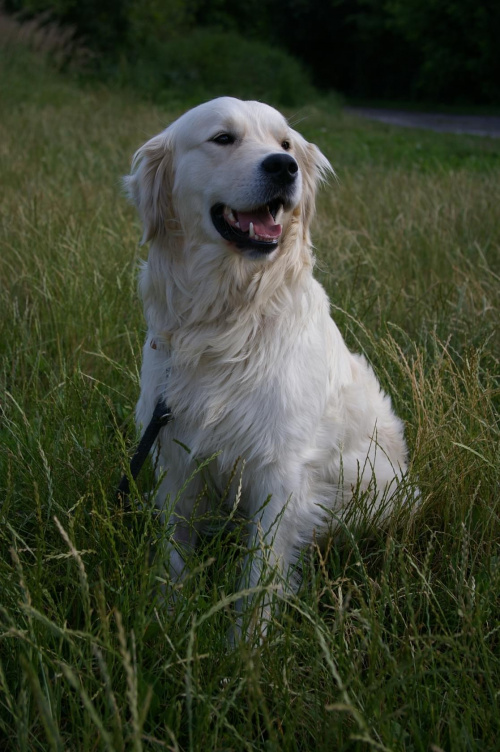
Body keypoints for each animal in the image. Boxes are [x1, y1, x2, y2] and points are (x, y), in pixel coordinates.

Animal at [124, 97, 413, 627]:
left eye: (285, 143)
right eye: (223, 138)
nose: (283, 167)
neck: (228, 321)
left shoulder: (280, 471)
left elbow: (259, 577)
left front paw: (247, 645)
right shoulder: (175, 457)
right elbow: (174, 552)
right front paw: (168, 618)